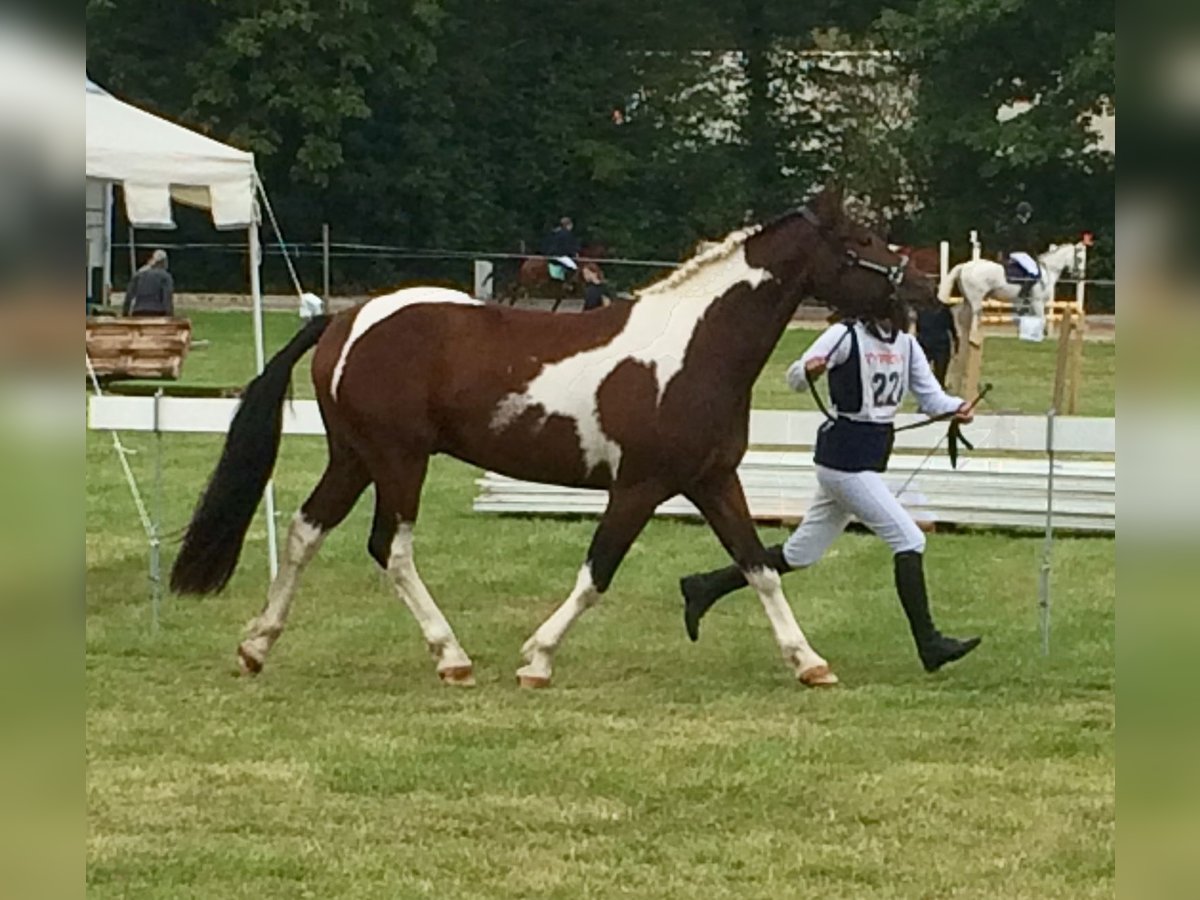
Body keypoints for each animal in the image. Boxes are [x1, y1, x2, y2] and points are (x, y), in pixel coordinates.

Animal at [169, 186, 935, 689]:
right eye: (862, 243)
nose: (919, 297)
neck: (695, 347)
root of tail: (344, 319)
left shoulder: (712, 479)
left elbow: (758, 566)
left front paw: (809, 662)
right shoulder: (641, 485)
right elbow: (597, 573)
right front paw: (536, 658)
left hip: (355, 458)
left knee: (305, 533)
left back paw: (257, 646)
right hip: (399, 460)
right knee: (390, 548)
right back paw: (451, 656)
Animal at [937, 242, 1085, 321]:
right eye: (1079, 259)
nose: (1080, 276)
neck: (1047, 270)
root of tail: (965, 266)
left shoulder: (1030, 303)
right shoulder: (1037, 301)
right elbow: (1041, 320)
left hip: (968, 298)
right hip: (976, 299)